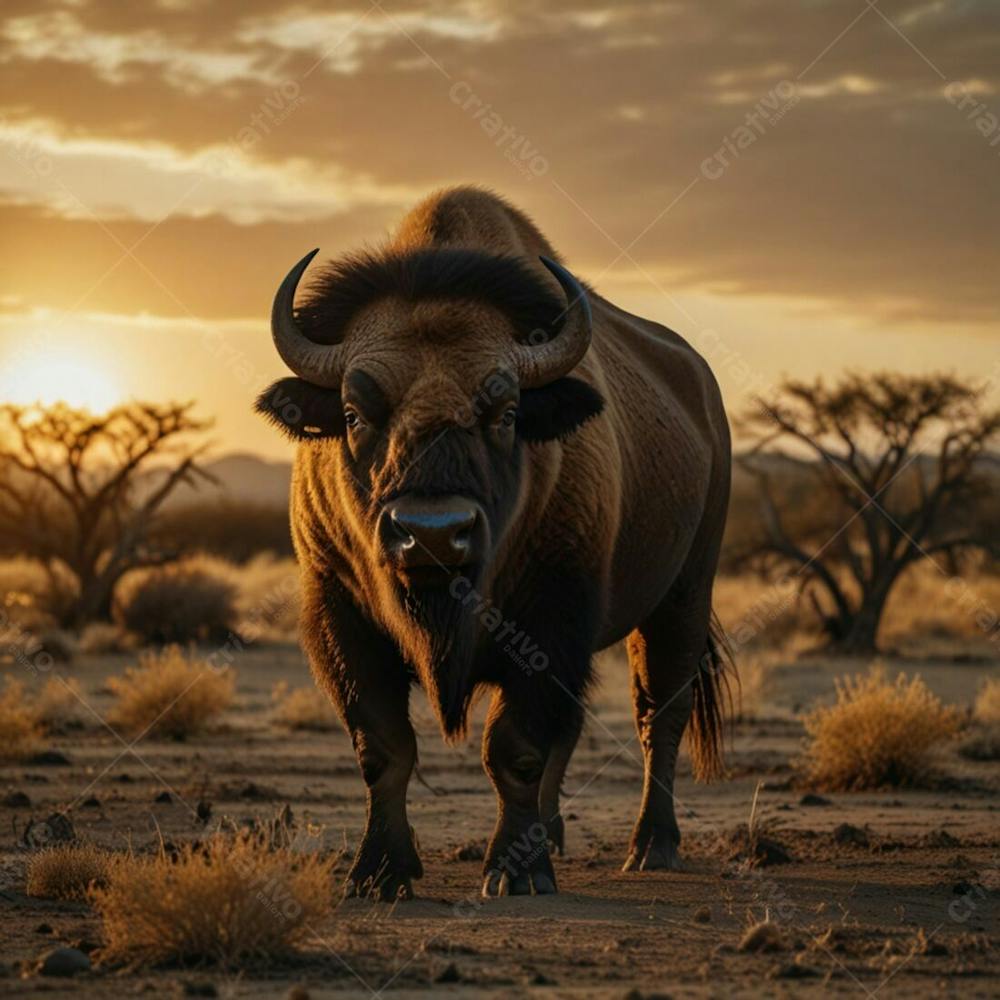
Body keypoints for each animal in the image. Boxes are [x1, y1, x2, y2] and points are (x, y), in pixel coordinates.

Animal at [254, 186, 732, 900]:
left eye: (505, 413)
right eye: (354, 413)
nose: (431, 535)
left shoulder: (551, 618)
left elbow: (514, 749)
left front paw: (516, 871)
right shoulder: (340, 612)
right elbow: (383, 748)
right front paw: (380, 872)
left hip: (680, 600)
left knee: (659, 716)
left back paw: (652, 845)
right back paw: (555, 835)